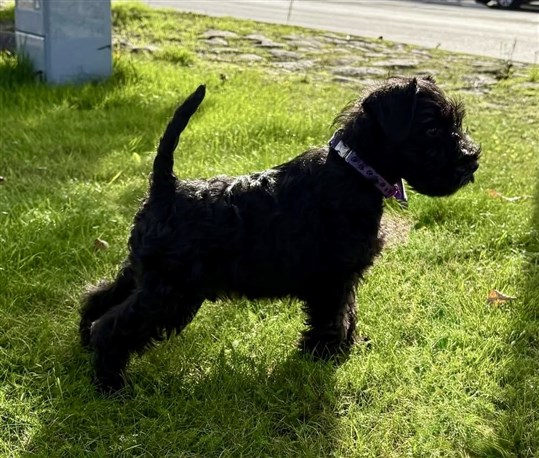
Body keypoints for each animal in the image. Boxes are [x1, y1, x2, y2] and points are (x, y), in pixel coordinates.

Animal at [80, 76, 480, 392]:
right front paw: (324, 357)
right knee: (113, 326)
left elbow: (348, 311)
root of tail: (165, 188)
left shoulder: (344, 279)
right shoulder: (331, 280)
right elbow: (332, 317)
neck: (354, 170)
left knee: (98, 298)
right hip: (169, 293)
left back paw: (84, 344)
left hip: (142, 273)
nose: (472, 159)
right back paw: (111, 384)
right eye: (432, 129)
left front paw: (345, 347)